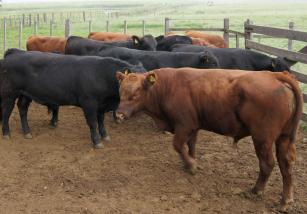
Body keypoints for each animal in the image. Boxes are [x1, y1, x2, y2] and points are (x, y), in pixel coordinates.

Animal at [1, 49, 146, 148]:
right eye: (132, 79)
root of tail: (15, 52)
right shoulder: (89, 103)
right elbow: (93, 122)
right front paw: (97, 141)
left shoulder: (101, 105)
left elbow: (101, 121)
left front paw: (105, 135)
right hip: (9, 94)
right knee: (6, 112)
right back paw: (6, 133)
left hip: (26, 94)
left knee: (22, 109)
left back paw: (27, 132)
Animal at [116, 68, 304, 211]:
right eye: (120, 92)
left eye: (136, 93)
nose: (119, 115)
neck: (168, 86)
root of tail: (274, 75)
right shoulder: (193, 126)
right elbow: (190, 145)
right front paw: (189, 163)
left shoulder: (184, 125)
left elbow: (178, 145)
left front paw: (191, 165)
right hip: (284, 137)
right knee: (286, 164)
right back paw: (286, 200)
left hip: (262, 138)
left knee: (267, 163)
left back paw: (256, 190)